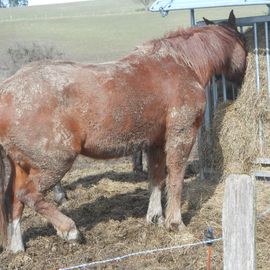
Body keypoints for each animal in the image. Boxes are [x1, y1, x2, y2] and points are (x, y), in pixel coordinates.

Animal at [0, 10, 247, 251]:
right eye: (243, 41)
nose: (242, 79)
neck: (182, 64)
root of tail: (7, 90)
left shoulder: (156, 142)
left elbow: (156, 177)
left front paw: (155, 217)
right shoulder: (181, 135)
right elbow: (175, 177)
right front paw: (175, 223)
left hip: (22, 165)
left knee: (13, 201)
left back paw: (17, 248)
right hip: (55, 163)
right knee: (27, 194)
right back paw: (69, 230)